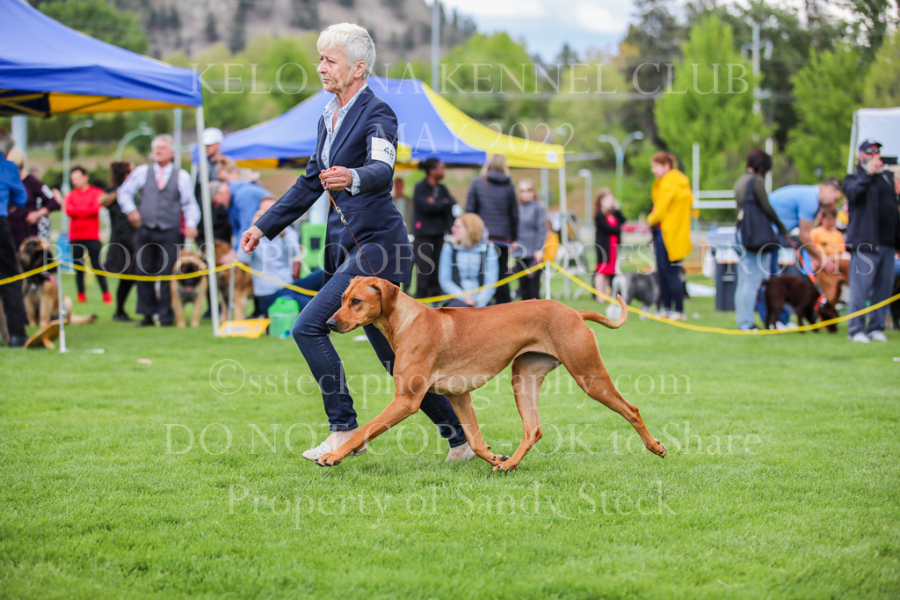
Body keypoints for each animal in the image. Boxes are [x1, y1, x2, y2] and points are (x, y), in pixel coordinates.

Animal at [312, 277, 667, 471]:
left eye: (357, 301)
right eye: (342, 299)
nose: (328, 323)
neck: (406, 321)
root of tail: (573, 312)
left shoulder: (406, 400)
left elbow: (363, 430)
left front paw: (333, 456)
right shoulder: (458, 396)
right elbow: (474, 438)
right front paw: (495, 457)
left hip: (588, 375)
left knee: (631, 409)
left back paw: (655, 446)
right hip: (523, 377)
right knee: (533, 429)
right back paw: (509, 464)